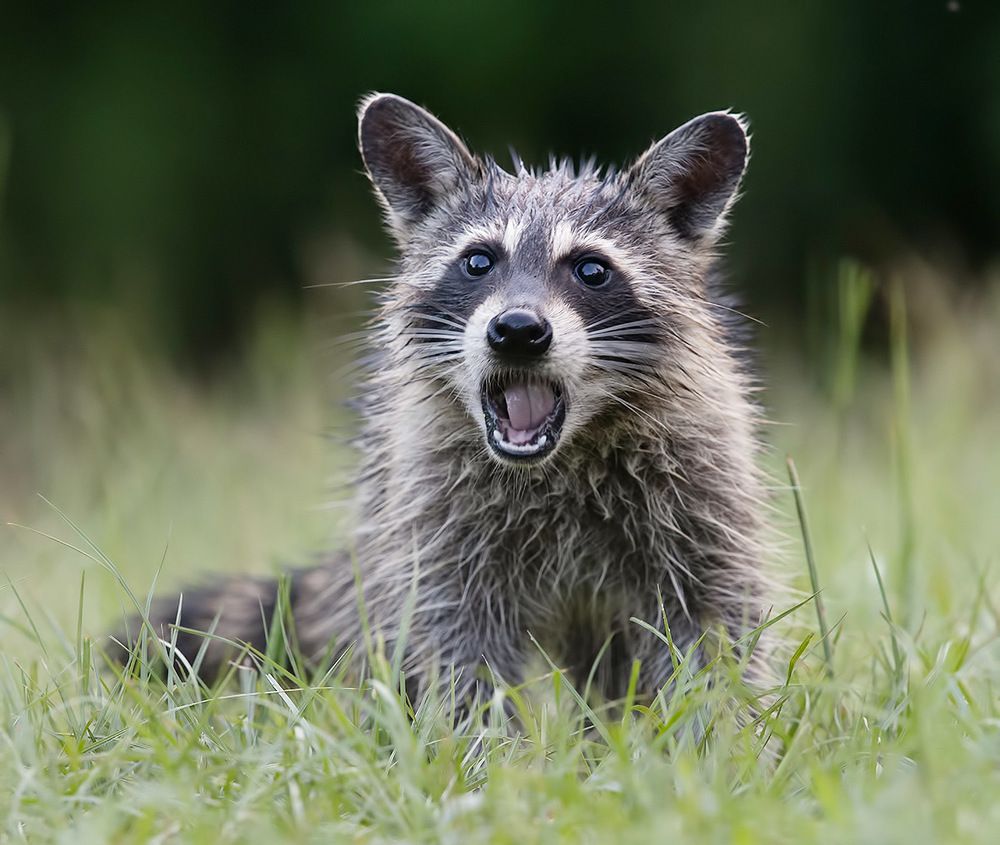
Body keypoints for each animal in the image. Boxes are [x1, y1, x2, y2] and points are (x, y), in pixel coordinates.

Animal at [120, 93, 773, 707]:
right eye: (478, 261)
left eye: (591, 269)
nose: (517, 330)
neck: (560, 458)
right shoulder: (432, 511)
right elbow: (454, 645)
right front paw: (485, 747)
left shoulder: (700, 484)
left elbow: (714, 626)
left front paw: (711, 733)